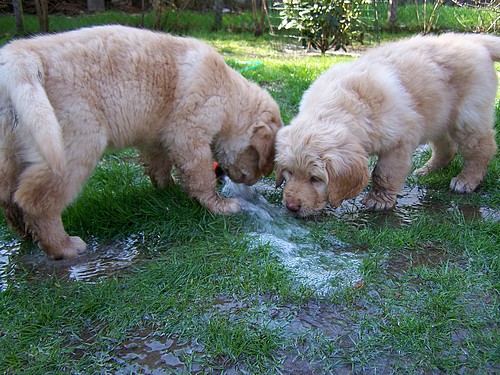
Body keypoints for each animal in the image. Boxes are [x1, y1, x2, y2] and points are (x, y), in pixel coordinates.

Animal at [0, 25, 282, 260]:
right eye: (259, 161)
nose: (251, 183)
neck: (229, 95)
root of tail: (20, 55)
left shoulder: (157, 137)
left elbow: (160, 165)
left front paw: (168, 190)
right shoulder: (189, 132)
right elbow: (201, 176)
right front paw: (220, 206)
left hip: (12, 147)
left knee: (9, 195)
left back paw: (26, 233)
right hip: (75, 142)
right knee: (37, 200)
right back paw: (62, 246)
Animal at [276, 34, 498, 219]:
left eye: (315, 178)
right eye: (288, 172)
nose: (291, 206)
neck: (336, 108)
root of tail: (472, 40)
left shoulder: (398, 142)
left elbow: (385, 172)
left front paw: (379, 200)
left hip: (467, 115)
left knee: (482, 147)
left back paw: (466, 180)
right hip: (439, 115)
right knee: (447, 147)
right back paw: (428, 169)